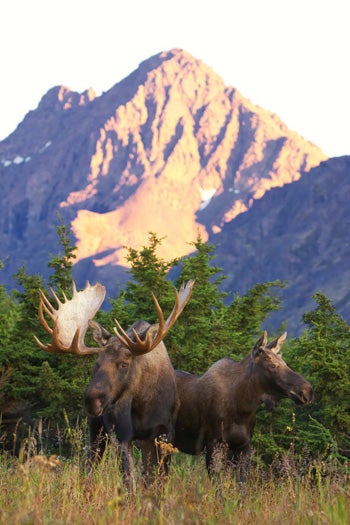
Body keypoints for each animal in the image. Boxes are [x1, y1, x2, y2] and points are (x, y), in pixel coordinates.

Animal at [35, 280, 194, 490]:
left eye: (124, 364)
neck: (142, 404)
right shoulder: (121, 435)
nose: (91, 401)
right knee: (90, 464)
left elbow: (156, 481)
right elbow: (129, 481)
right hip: (97, 429)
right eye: (96, 363)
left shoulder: (164, 435)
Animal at [175, 332, 314, 478]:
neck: (242, 408)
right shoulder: (213, 444)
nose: (308, 391)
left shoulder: (244, 446)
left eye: (285, 363)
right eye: (272, 365)